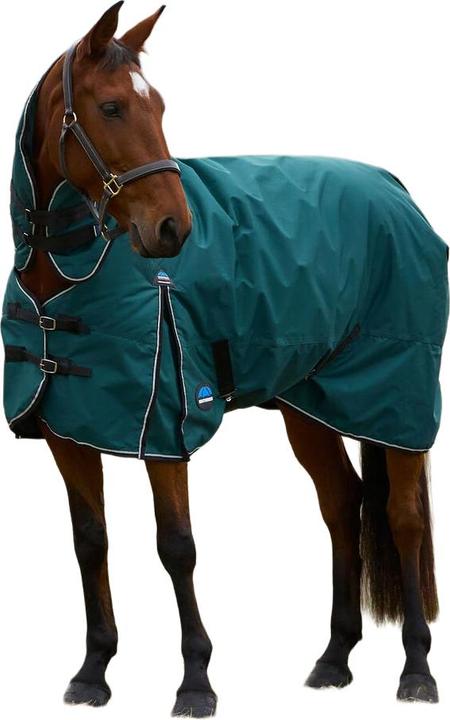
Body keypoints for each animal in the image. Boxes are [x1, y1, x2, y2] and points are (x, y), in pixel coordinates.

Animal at [3, 2, 446, 716]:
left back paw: (416, 671)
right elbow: (89, 541)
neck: (69, 276)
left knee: (403, 519)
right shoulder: (67, 431)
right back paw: (333, 659)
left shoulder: (165, 427)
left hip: (395, 399)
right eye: (110, 107)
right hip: (310, 406)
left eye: (158, 106)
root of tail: (396, 190)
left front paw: (195, 681)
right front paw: (94, 670)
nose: (173, 230)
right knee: (342, 504)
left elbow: (176, 547)